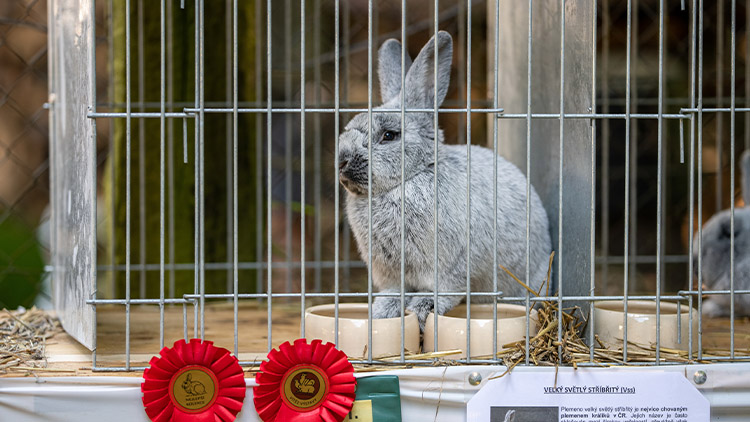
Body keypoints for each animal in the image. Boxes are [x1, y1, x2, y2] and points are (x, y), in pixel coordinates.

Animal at [340, 33, 552, 330]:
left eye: (389, 135)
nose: (342, 161)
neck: (410, 179)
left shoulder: (452, 268)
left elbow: (444, 291)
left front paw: (422, 308)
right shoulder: (391, 273)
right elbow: (393, 293)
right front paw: (382, 311)